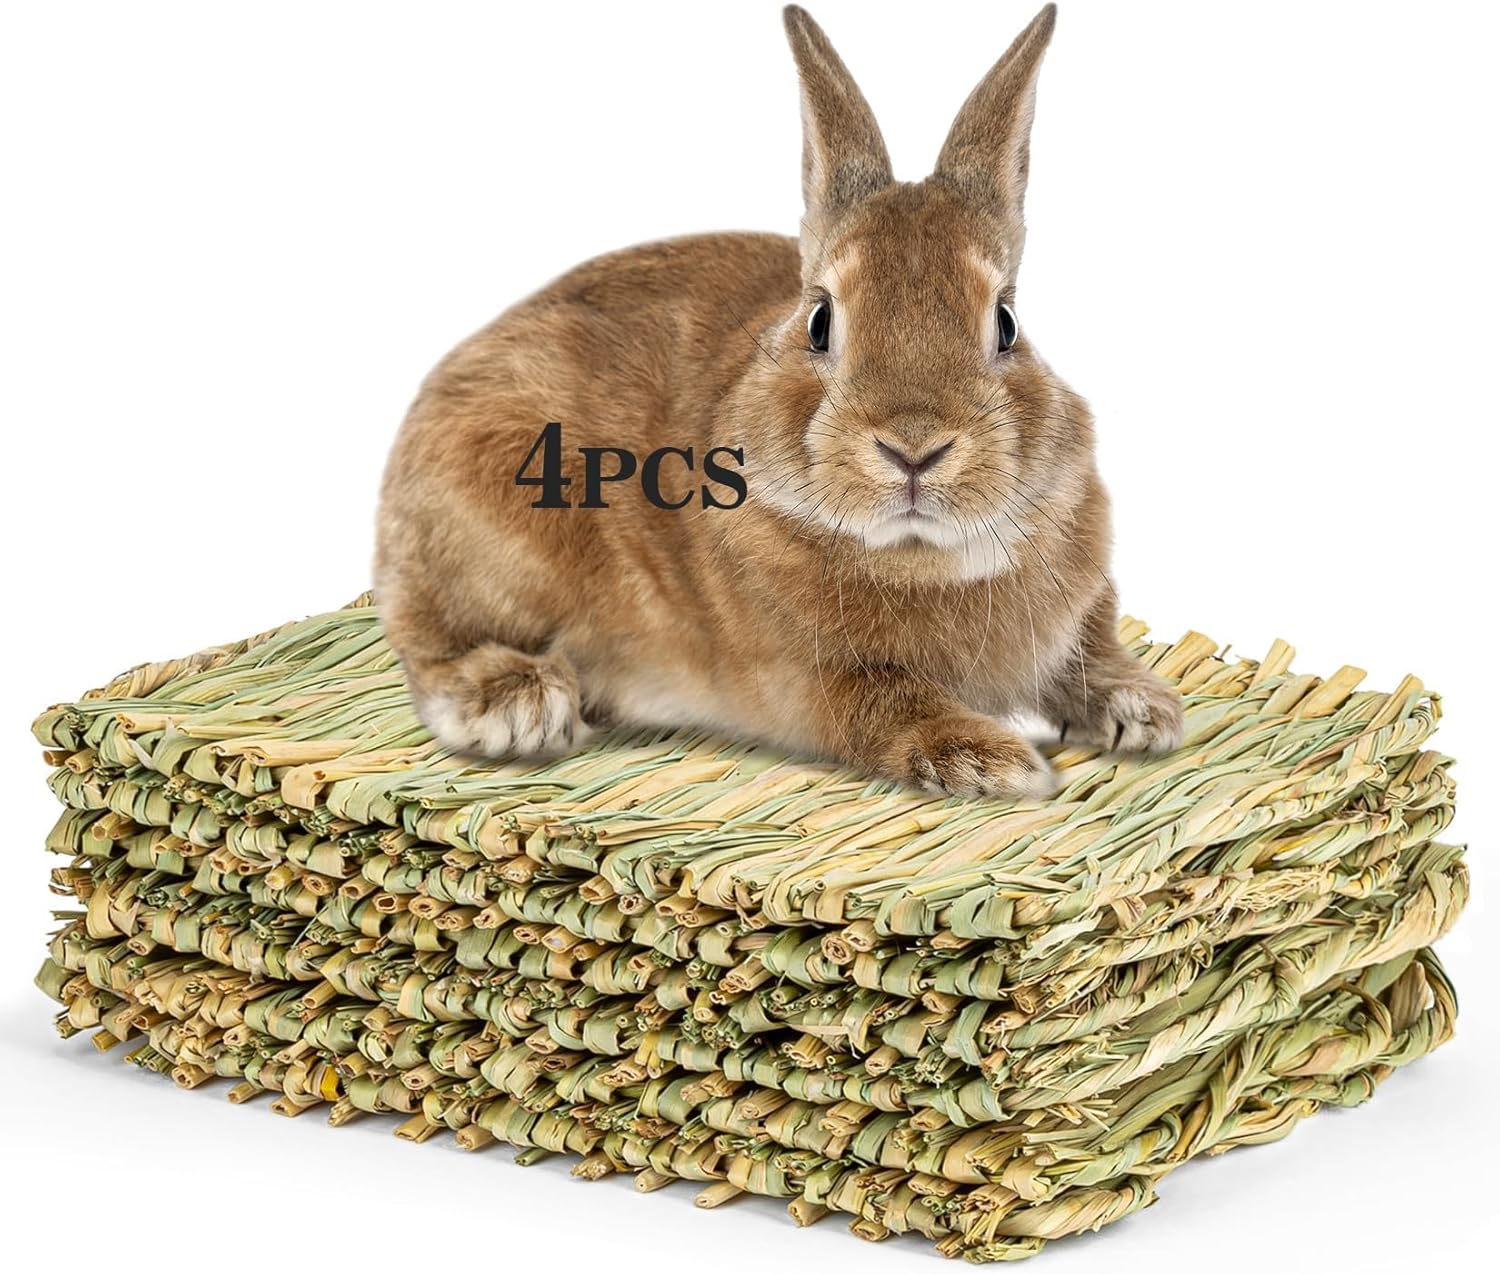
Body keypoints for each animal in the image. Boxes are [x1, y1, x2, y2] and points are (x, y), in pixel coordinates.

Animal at [374, 3, 1184, 798]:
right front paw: (996, 762)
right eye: (820, 320)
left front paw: (1144, 710)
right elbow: (887, 704)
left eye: (1007, 323)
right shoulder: (808, 679)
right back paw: (516, 704)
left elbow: (1090, 650)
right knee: (425, 641)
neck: (921, 557)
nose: (914, 448)